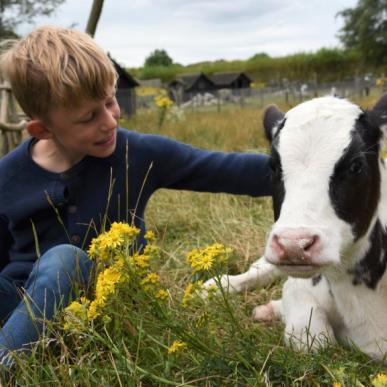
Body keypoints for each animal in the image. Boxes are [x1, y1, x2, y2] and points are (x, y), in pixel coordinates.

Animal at [208, 95, 387, 362]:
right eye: (273, 166)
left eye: (356, 165)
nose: (293, 244)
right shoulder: (301, 286)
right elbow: (314, 341)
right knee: (259, 270)